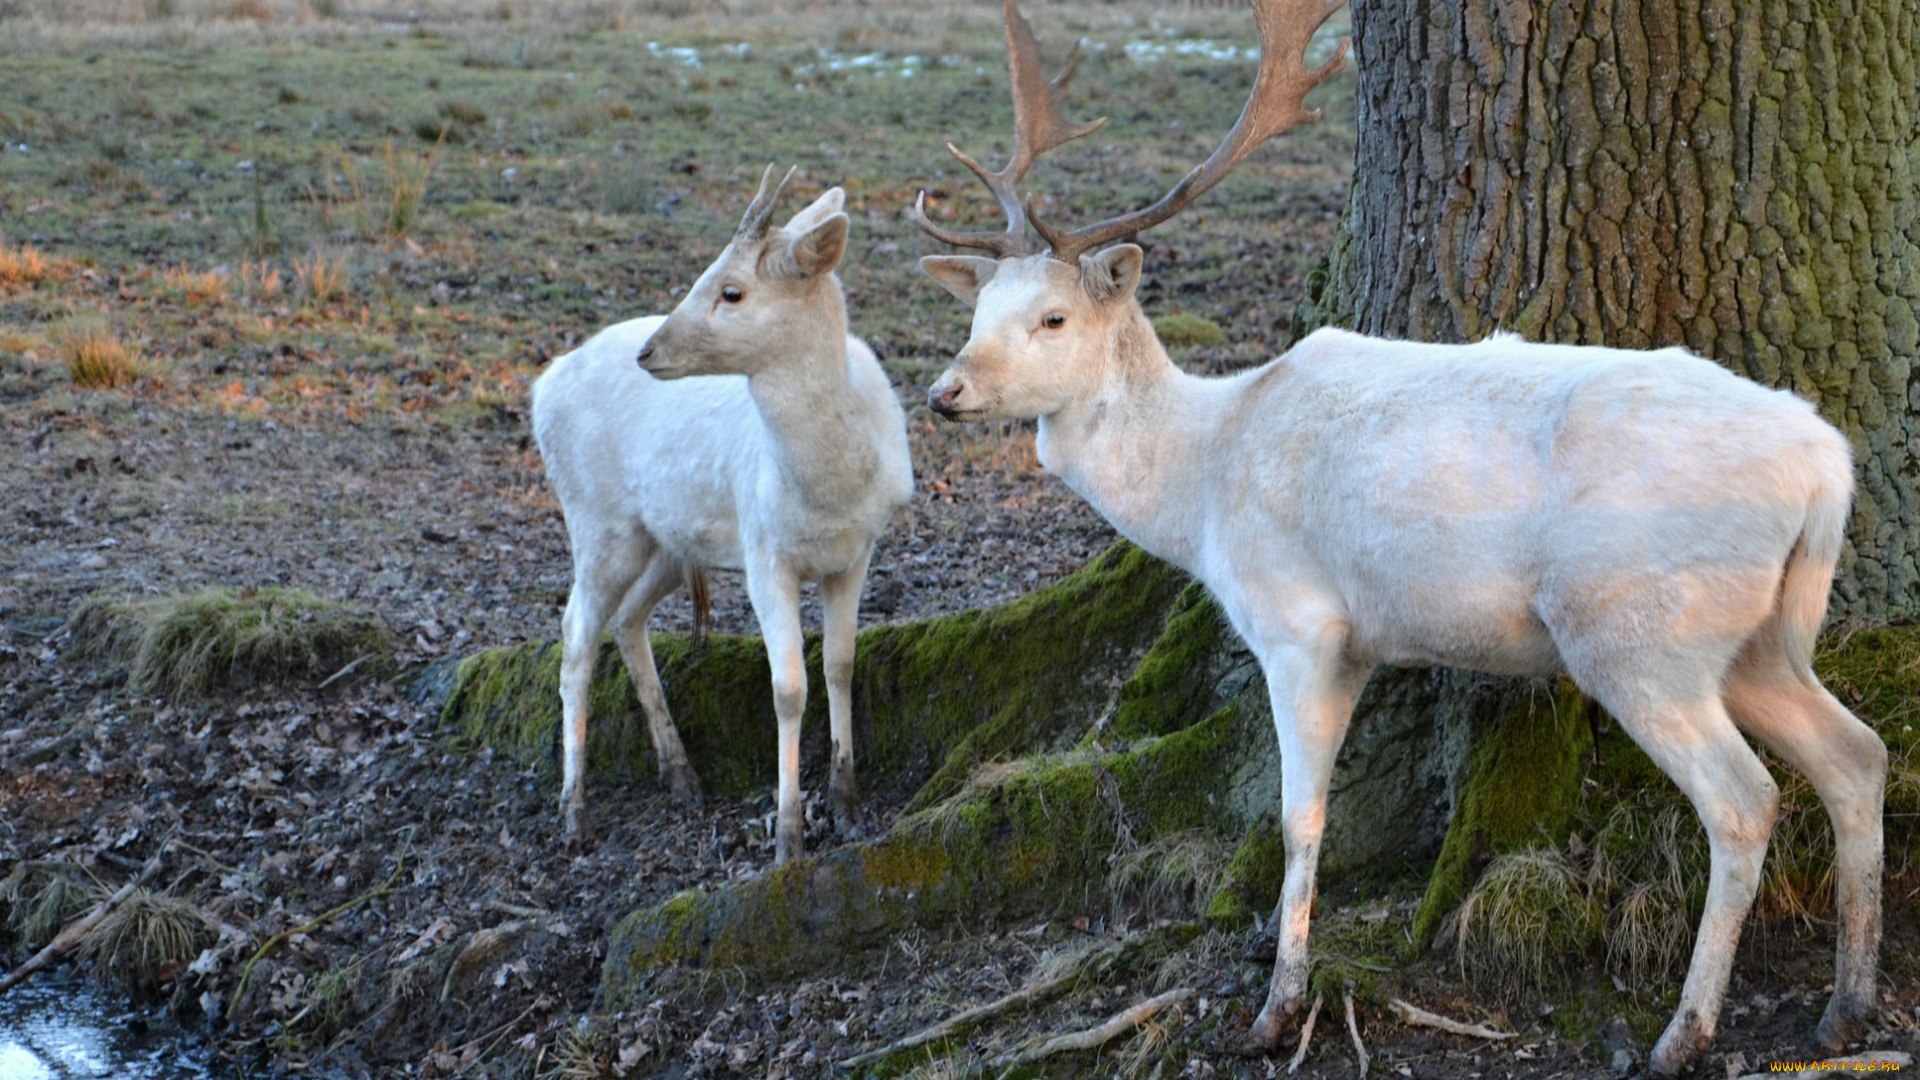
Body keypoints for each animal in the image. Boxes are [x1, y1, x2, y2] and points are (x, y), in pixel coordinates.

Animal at [529, 166, 910, 857]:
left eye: (732, 290)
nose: (650, 351)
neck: (829, 492)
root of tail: (541, 385)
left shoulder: (859, 550)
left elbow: (840, 666)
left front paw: (846, 803)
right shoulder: (764, 553)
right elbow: (788, 689)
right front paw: (788, 836)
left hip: (667, 542)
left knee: (626, 618)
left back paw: (681, 774)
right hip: (596, 519)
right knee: (574, 636)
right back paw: (574, 812)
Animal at [913, 4, 1889, 1068]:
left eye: (1052, 317)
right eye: (976, 311)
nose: (946, 392)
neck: (1203, 480)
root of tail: (1826, 464)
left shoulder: (1299, 624)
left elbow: (1300, 818)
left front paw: (1278, 1007)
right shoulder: (1357, 644)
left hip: (1641, 632)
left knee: (1745, 799)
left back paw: (1684, 1031)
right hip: (1755, 637)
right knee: (1857, 753)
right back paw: (1848, 1004)